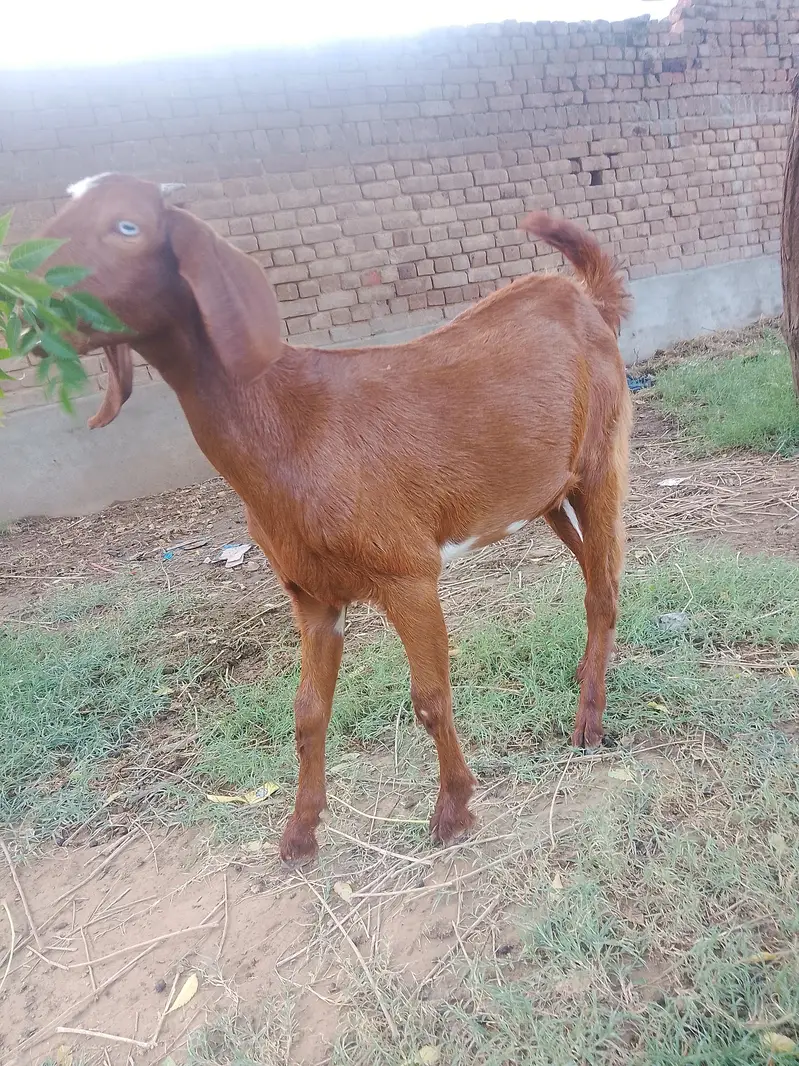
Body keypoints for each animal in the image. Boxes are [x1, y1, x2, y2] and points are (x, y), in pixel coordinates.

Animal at [39, 174, 632, 864]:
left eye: (127, 226)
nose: (32, 306)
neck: (290, 426)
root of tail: (585, 298)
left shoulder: (409, 573)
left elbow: (430, 698)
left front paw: (454, 811)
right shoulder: (311, 595)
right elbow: (307, 711)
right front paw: (299, 833)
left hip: (601, 457)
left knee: (602, 586)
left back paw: (588, 723)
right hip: (546, 492)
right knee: (592, 571)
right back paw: (586, 678)